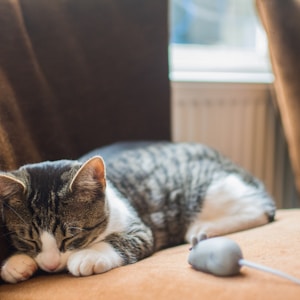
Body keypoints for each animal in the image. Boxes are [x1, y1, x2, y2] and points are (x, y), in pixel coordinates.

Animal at [0, 143, 276, 284]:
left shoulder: (141, 229)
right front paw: (16, 263)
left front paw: (88, 255)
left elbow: (123, 240)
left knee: (262, 208)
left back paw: (203, 229)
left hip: (213, 190)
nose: (50, 264)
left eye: (71, 236)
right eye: (27, 239)